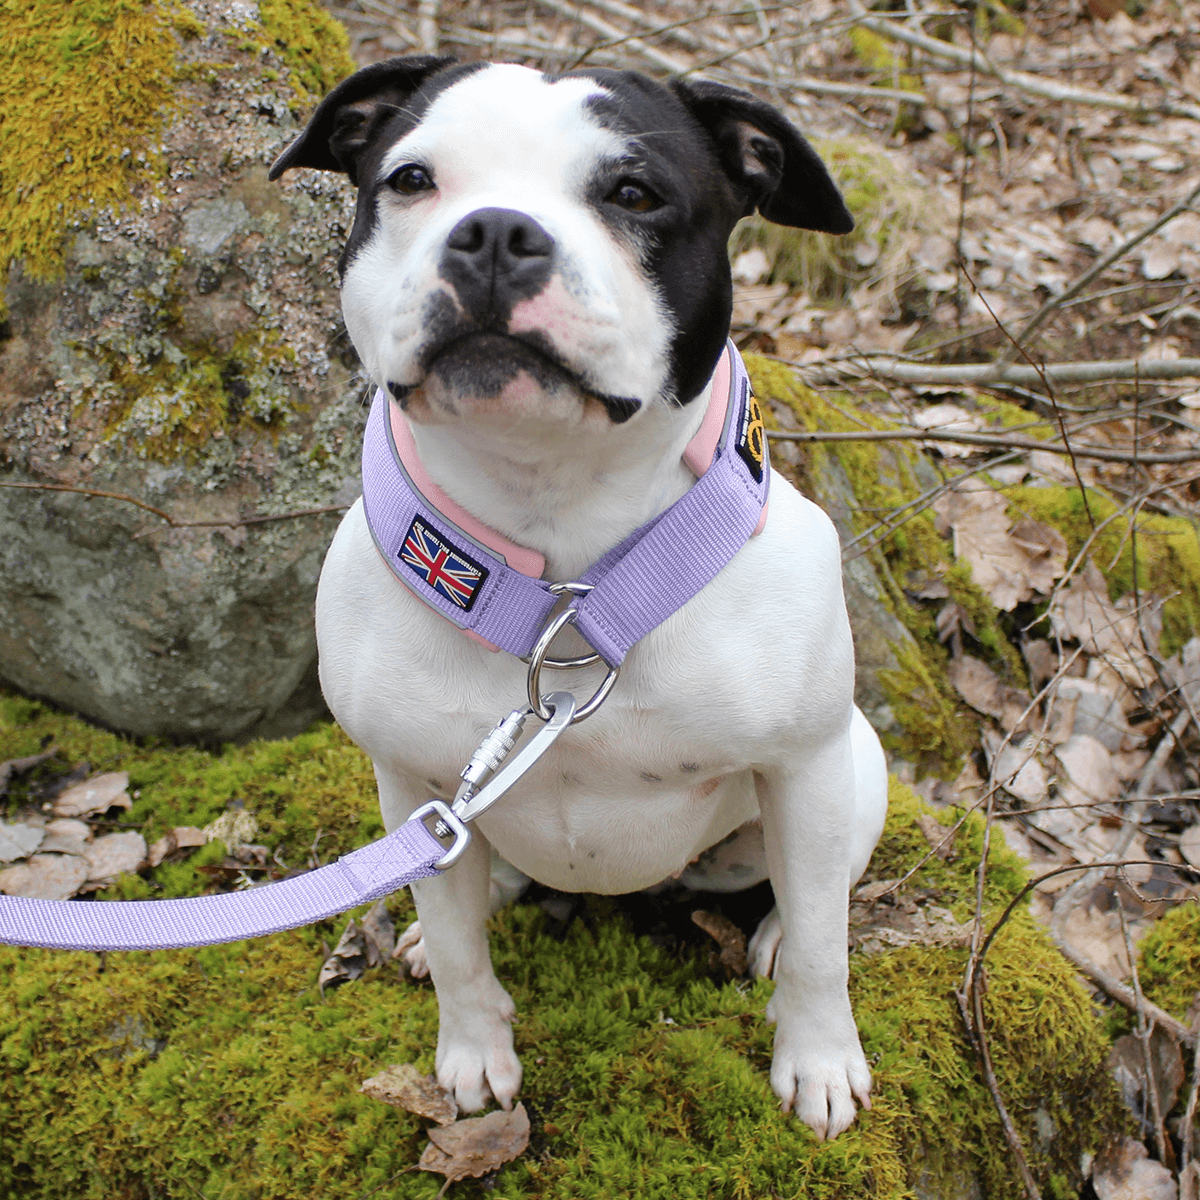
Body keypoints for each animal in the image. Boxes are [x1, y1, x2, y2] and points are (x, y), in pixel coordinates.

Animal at [272, 58, 892, 1142]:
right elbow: (461, 952)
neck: (563, 571)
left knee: (815, 891)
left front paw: (817, 1060)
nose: (493, 232)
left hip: (853, 771)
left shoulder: (806, 763)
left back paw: (771, 936)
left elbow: (824, 944)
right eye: (411, 179)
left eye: (634, 194)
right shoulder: (412, 781)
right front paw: (472, 1056)